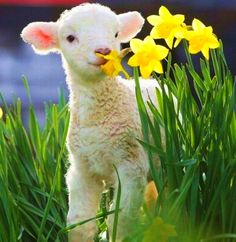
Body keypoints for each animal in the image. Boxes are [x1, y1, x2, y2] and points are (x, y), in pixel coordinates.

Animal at [21, 2, 160, 241]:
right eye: (70, 38)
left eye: (115, 34)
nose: (103, 51)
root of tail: (147, 80)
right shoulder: (82, 168)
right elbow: (78, 223)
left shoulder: (131, 164)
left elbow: (120, 221)